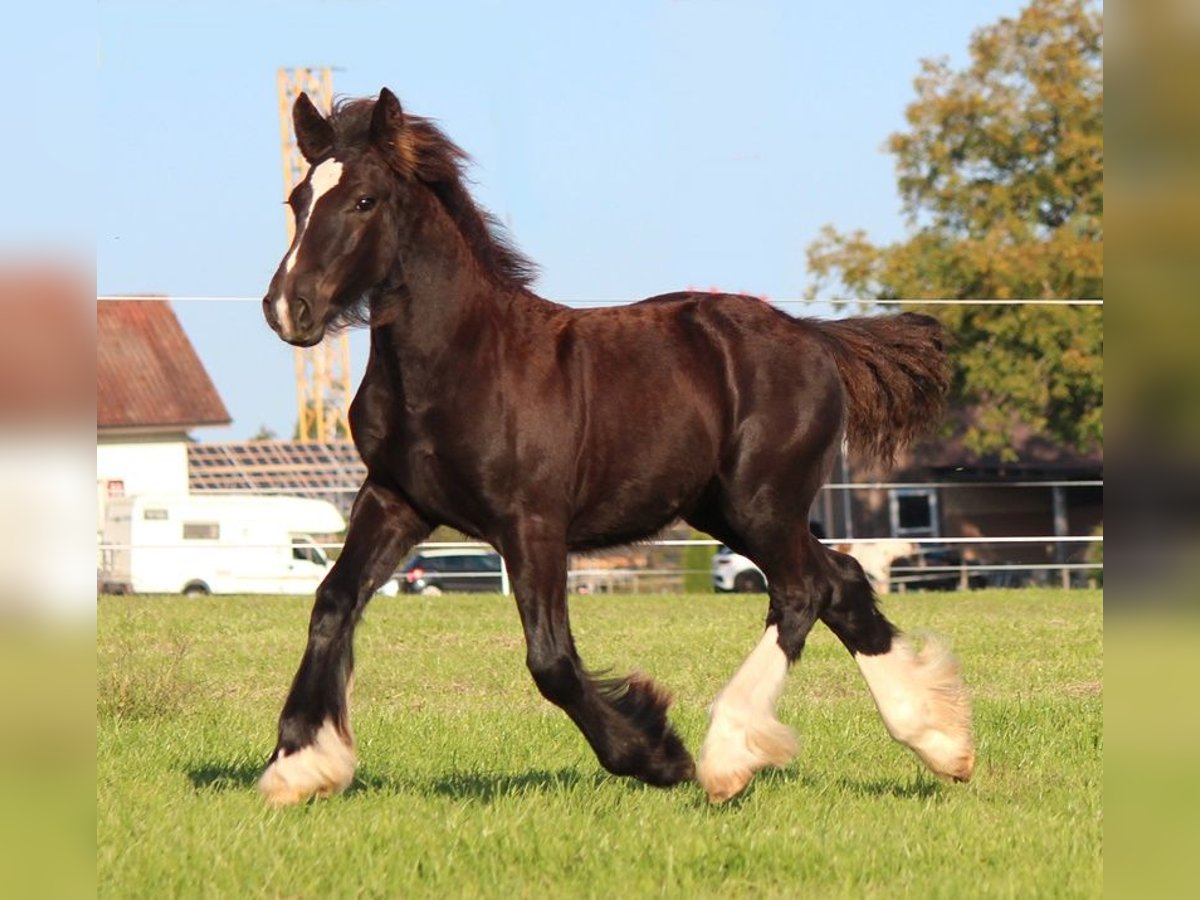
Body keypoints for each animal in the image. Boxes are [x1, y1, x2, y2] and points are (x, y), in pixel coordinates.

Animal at [258, 90, 969, 811]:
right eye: (297, 197)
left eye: (365, 200)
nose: (289, 308)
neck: (459, 362)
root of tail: (814, 337)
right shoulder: (395, 500)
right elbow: (333, 602)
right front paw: (298, 765)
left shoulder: (532, 522)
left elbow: (550, 659)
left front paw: (656, 754)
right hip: (726, 510)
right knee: (841, 581)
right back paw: (940, 741)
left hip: (762, 503)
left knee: (804, 591)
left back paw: (726, 756)